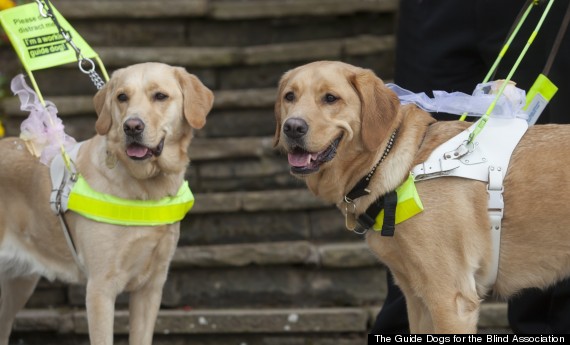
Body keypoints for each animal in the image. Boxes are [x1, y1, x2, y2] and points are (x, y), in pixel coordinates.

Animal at [0, 62, 213, 344]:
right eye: (122, 97)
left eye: (160, 96)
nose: (132, 126)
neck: (145, 188)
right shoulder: (100, 289)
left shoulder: (151, 288)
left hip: (18, 285)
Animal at [272, 61, 570, 334]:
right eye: (290, 96)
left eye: (330, 98)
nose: (293, 127)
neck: (402, 165)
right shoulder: (417, 298)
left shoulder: (450, 298)